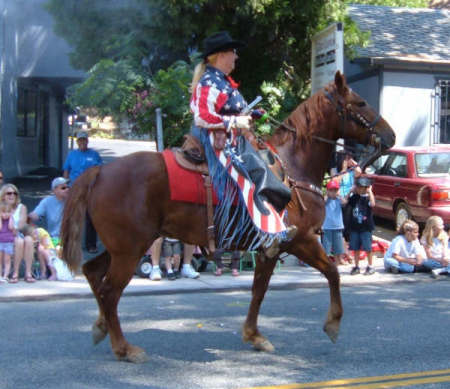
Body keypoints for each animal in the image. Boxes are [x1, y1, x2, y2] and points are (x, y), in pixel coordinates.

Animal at [60, 72, 394, 360]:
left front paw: (254, 335)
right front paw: (332, 324)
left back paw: (101, 327)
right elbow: (331, 272)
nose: (390, 135)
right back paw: (123, 348)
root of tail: (100, 171)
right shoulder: (299, 240)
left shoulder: (270, 249)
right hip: (130, 250)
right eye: (360, 103)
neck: (293, 166)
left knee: (92, 274)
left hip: (122, 247)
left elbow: (259, 290)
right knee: (110, 291)